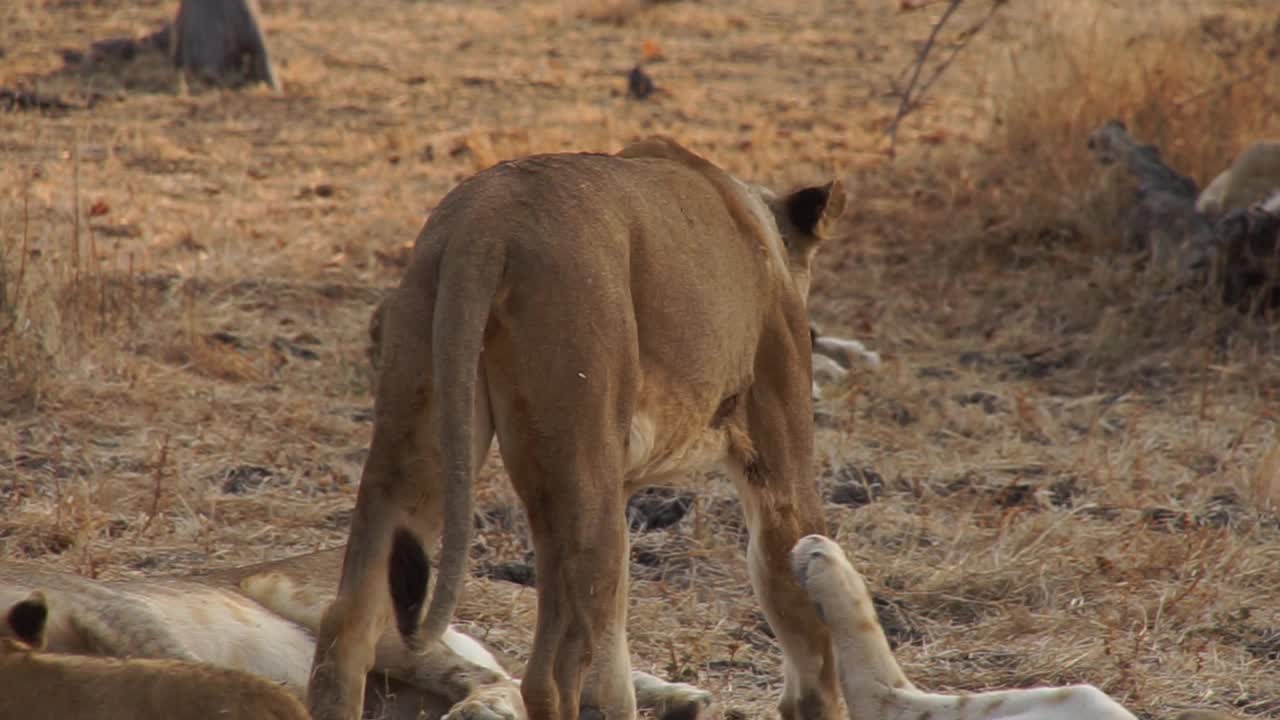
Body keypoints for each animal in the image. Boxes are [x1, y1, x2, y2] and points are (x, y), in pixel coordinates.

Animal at [313, 134, 844, 717]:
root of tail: (486, 217)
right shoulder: (777, 454)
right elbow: (808, 625)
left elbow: (613, 665)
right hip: (581, 457)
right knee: (550, 675)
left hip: (423, 431)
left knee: (348, 623)